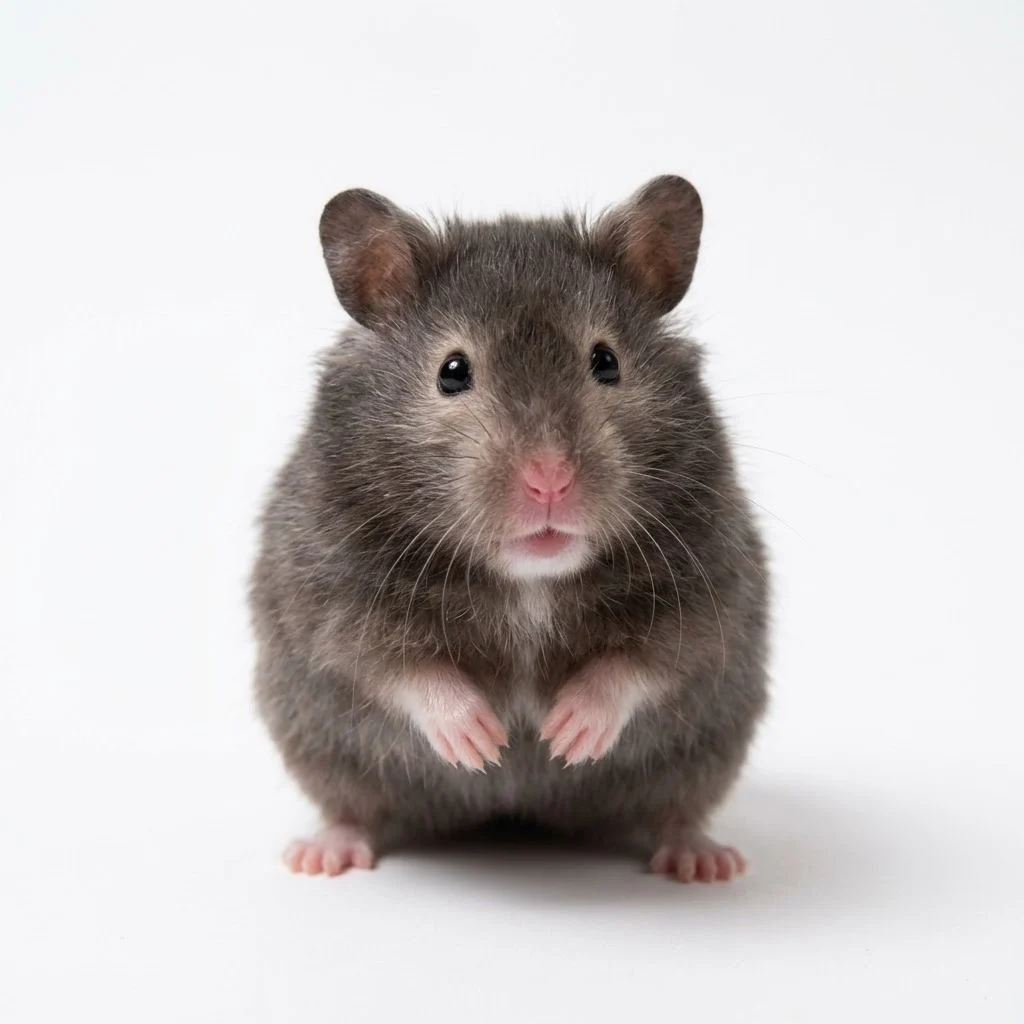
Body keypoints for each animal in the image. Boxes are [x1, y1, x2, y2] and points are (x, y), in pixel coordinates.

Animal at [249, 176, 770, 882]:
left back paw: (702, 862)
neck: (530, 580)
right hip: (322, 744)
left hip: (706, 749)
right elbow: (399, 666)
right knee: (355, 805)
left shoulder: (710, 587)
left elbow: (643, 660)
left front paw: (563, 735)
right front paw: (484, 742)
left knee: (674, 810)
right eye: (452, 371)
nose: (549, 481)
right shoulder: (330, 596)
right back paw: (322, 855)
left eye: (606, 361)